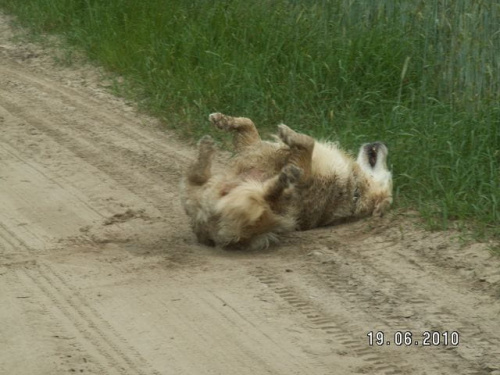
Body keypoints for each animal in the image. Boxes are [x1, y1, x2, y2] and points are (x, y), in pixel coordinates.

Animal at [181, 113, 394, 251]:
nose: (384, 142)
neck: (356, 188)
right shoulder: (253, 147)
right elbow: (249, 124)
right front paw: (223, 119)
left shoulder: (306, 175)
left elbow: (308, 142)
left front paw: (289, 134)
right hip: (201, 189)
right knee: (195, 175)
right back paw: (206, 149)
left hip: (261, 208)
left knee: (268, 196)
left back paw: (283, 179)